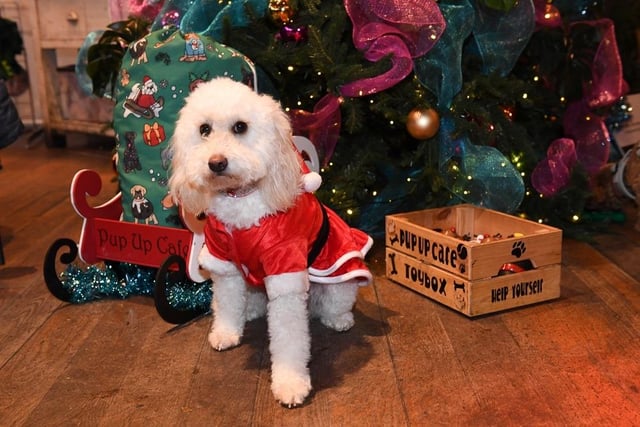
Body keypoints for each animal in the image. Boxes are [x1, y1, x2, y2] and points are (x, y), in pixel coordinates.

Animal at [169, 77, 376, 408]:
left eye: (240, 127)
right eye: (204, 129)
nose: (216, 163)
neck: (241, 200)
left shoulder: (285, 270)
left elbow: (289, 341)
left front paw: (290, 382)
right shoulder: (223, 263)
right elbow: (226, 305)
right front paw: (227, 332)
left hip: (340, 281)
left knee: (334, 306)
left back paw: (339, 319)